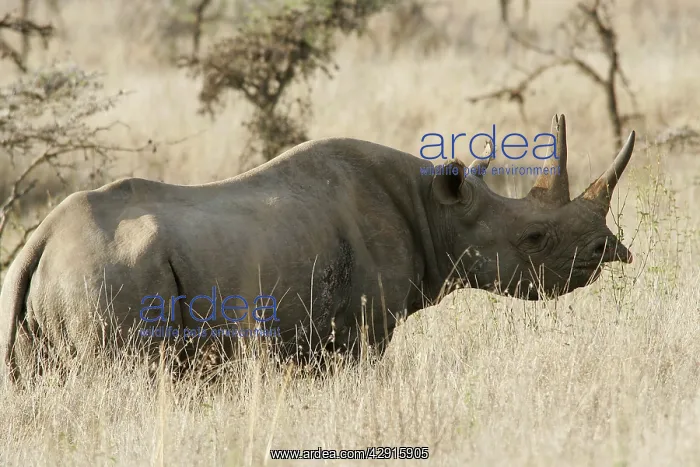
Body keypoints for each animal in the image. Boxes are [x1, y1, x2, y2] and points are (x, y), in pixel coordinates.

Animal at [0, 114, 635, 383]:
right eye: (535, 238)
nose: (610, 252)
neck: (439, 211)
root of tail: (40, 241)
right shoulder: (361, 331)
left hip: (53, 285)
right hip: (108, 273)